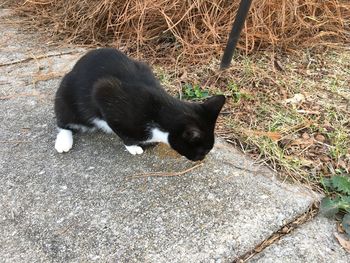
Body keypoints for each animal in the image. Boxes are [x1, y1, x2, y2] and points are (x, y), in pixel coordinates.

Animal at [53, 48, 226, 162]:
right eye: (203, 150)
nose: (201, 159)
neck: (158, 115)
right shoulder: (105, 92)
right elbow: (123, 133)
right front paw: (133, 147)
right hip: (66, 95)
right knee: (64, 120)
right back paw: (63, 140)